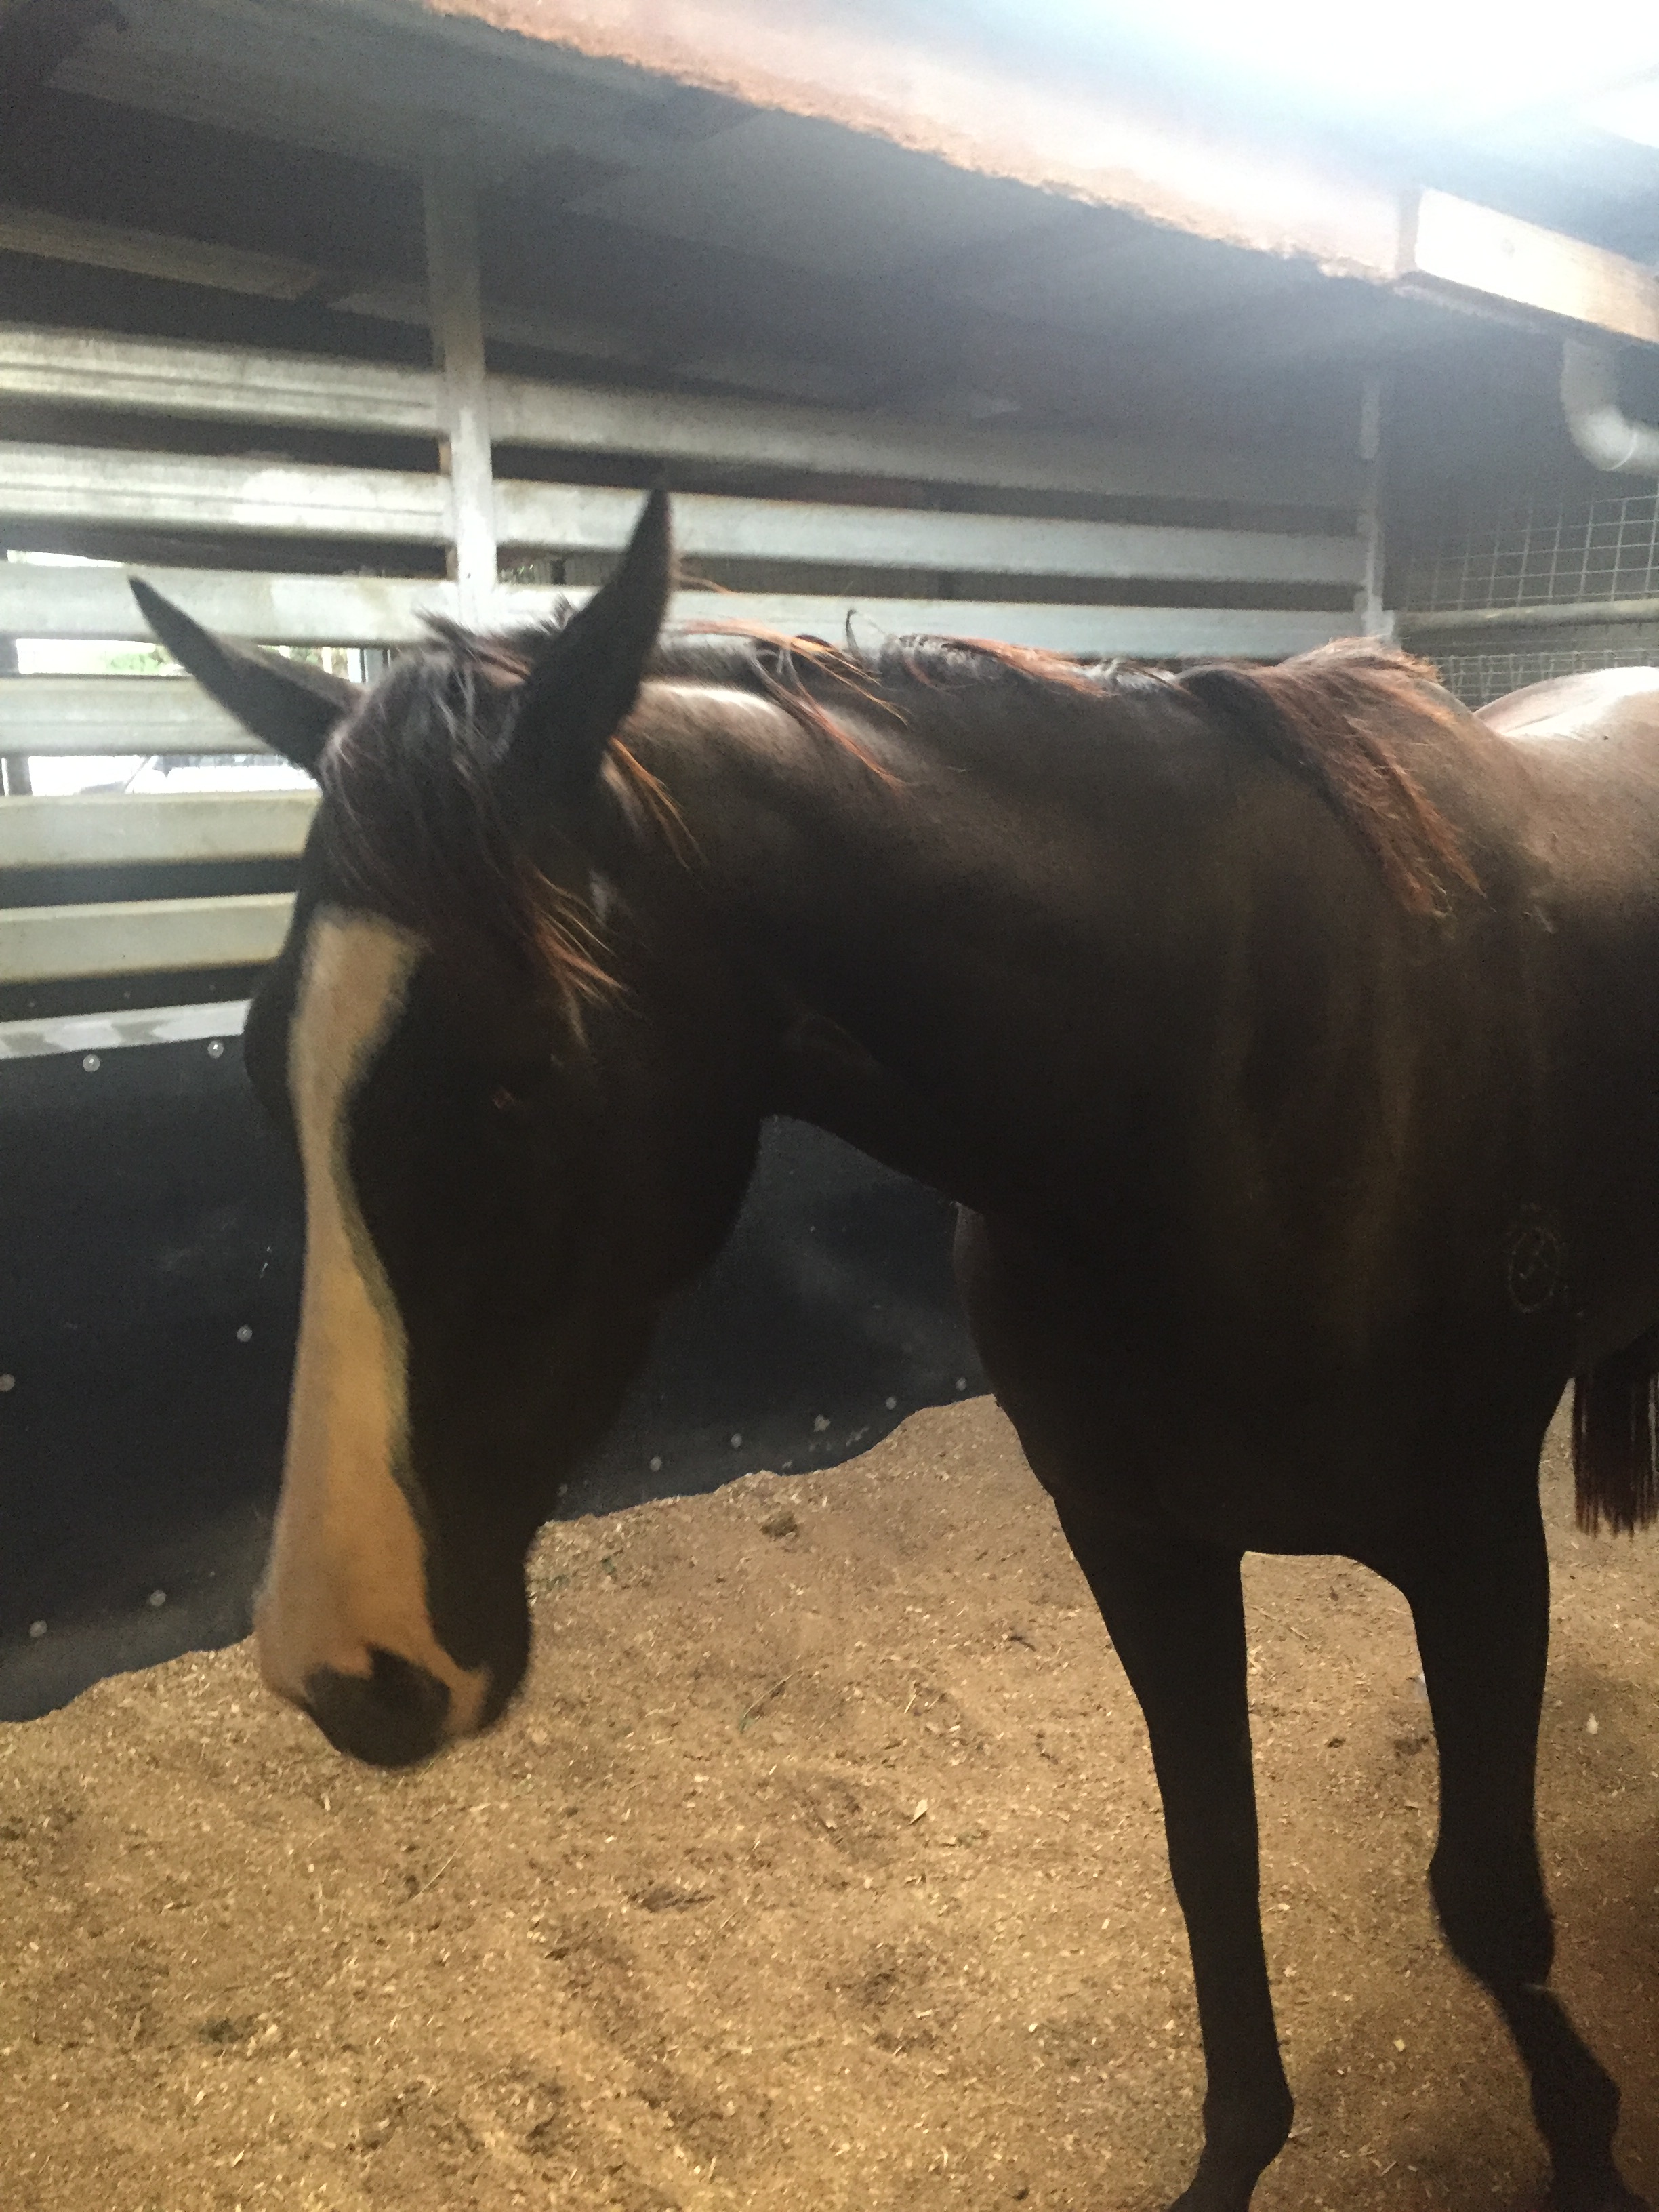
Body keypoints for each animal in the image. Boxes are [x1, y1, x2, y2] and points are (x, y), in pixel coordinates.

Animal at [132, 494, 1658, 2212]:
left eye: (521, 1074)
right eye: (265, 1061)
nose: (347, 1665)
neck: (1220, 1095)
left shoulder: (1475, 1551)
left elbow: (1488, 1900)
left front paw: (1585, 2150)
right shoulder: (1138, 1541)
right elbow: (1210, 1852)